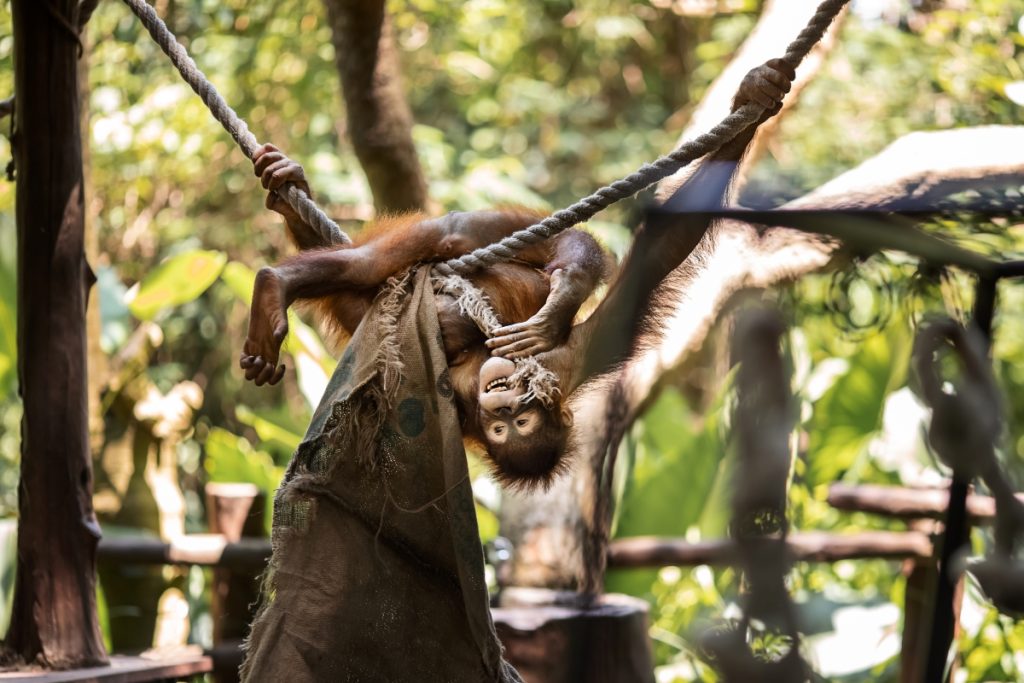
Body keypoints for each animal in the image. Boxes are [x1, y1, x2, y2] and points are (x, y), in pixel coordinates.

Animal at [241, 58, 796, 488]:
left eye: (516, 425)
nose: (502, 402)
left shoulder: (566, 365)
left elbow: (658, 257)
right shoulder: (570, 357)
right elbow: (656, 258)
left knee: (379, 286)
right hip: (480, 227)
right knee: (437, 243)